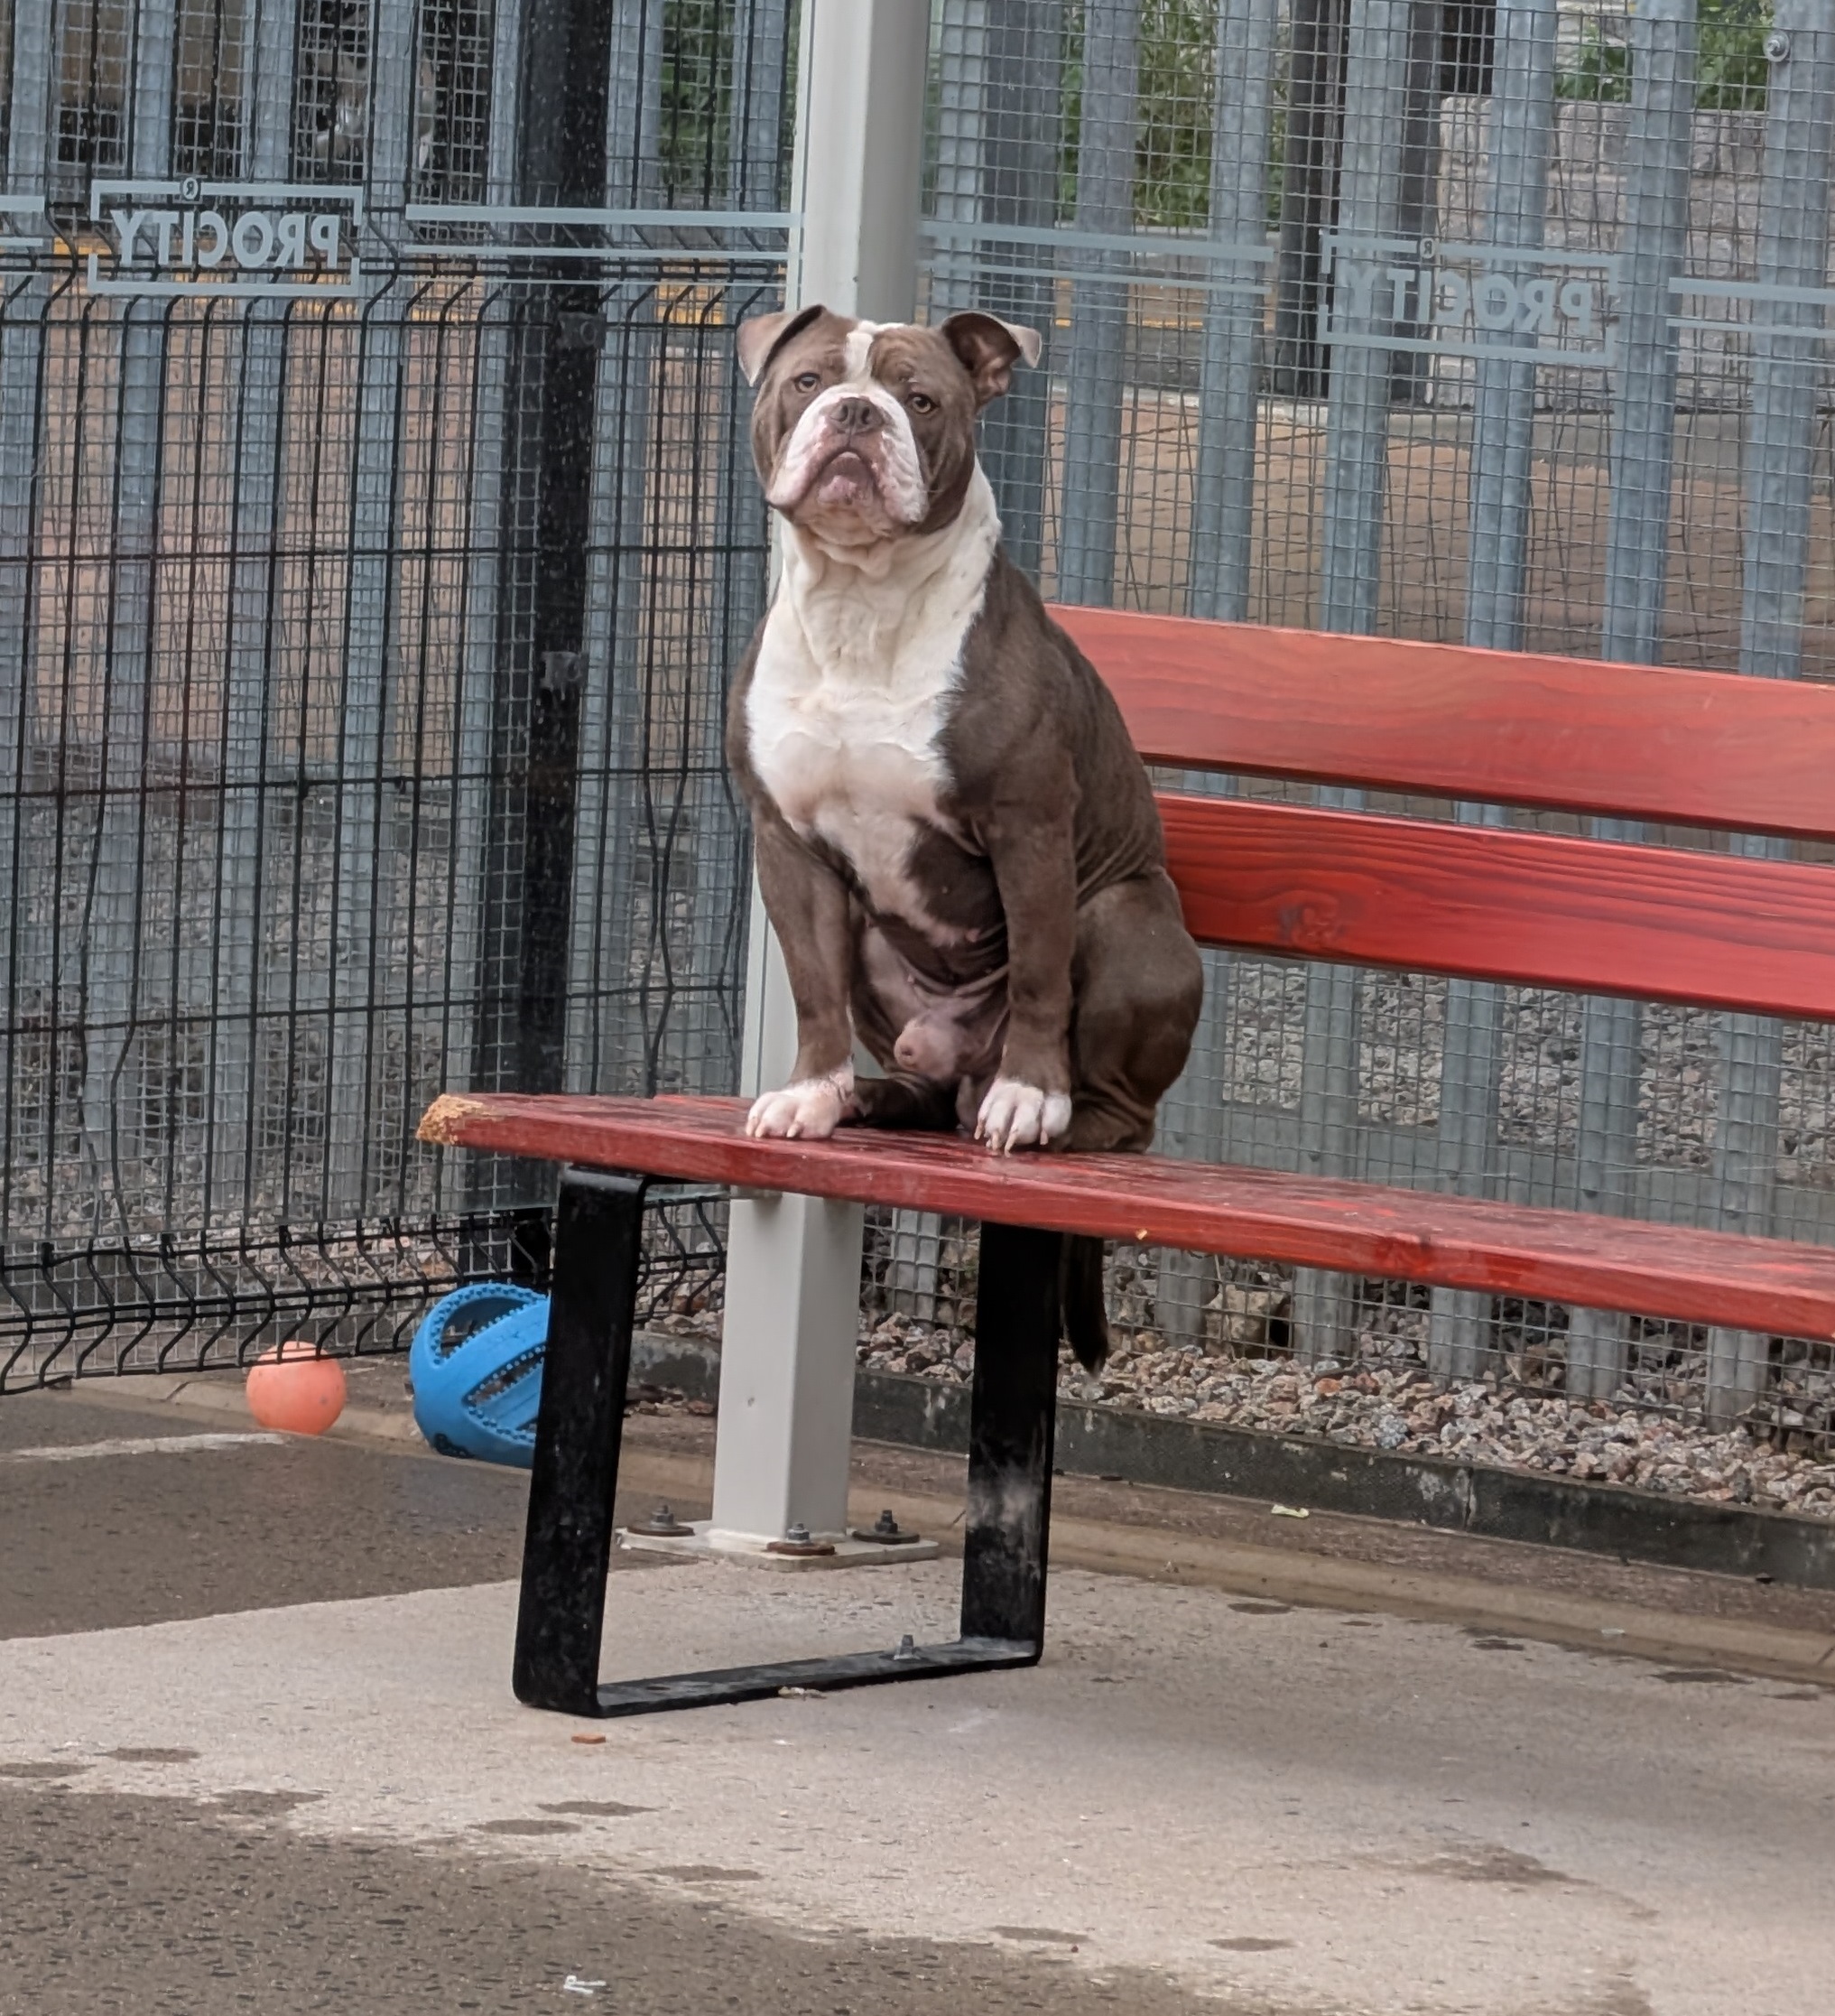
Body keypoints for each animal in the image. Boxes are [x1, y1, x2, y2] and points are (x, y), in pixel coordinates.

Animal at [734, 302, 1209, 1370]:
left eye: (920, 400)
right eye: (807, 380)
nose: (856, 413)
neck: (861, 603)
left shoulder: (1027, 826)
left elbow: (1035, 972)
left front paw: (1032, 1096)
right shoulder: (786, 846)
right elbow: (812, 991)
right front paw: (811, 1092)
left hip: (1125, 917)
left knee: (1123, 1110)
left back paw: (1049, 1118)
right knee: (922, 1086)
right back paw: (870, 1099)